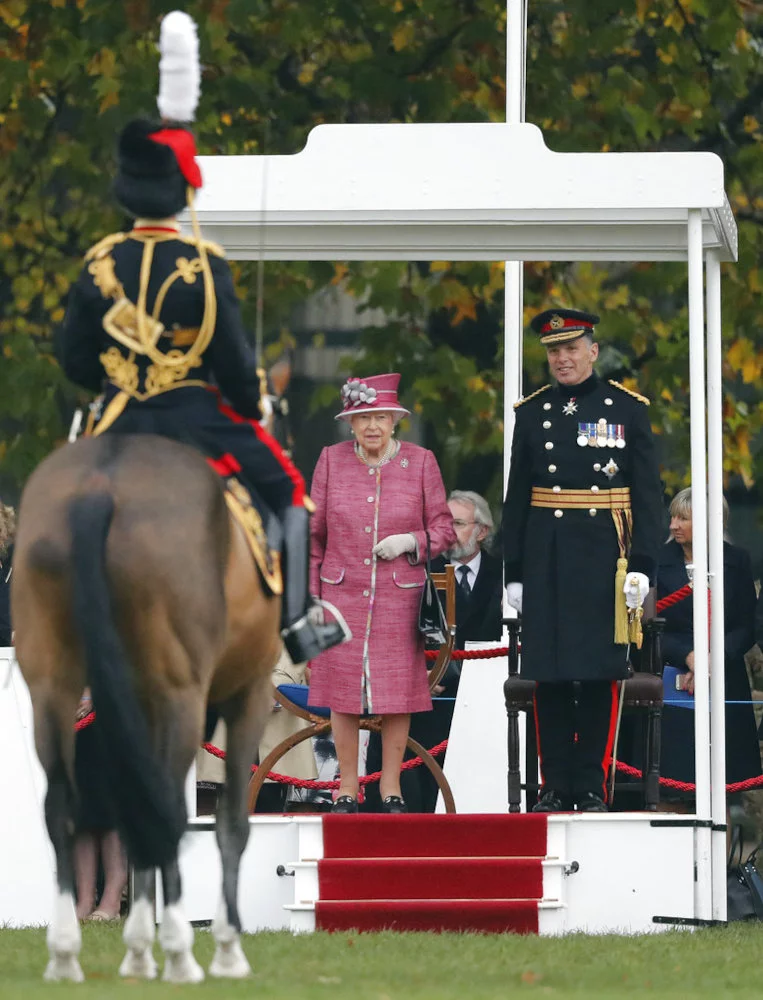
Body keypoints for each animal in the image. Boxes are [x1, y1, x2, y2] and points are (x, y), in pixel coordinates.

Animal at [11, 432, 282, 984]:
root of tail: (101, 482)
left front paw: (137, 948)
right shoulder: (250, 692)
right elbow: (230, 823)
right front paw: (226, 949)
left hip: (53, 689)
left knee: (63, 808)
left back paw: (66, 952)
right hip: (182, 697)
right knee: (170, 811)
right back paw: (180, 953)